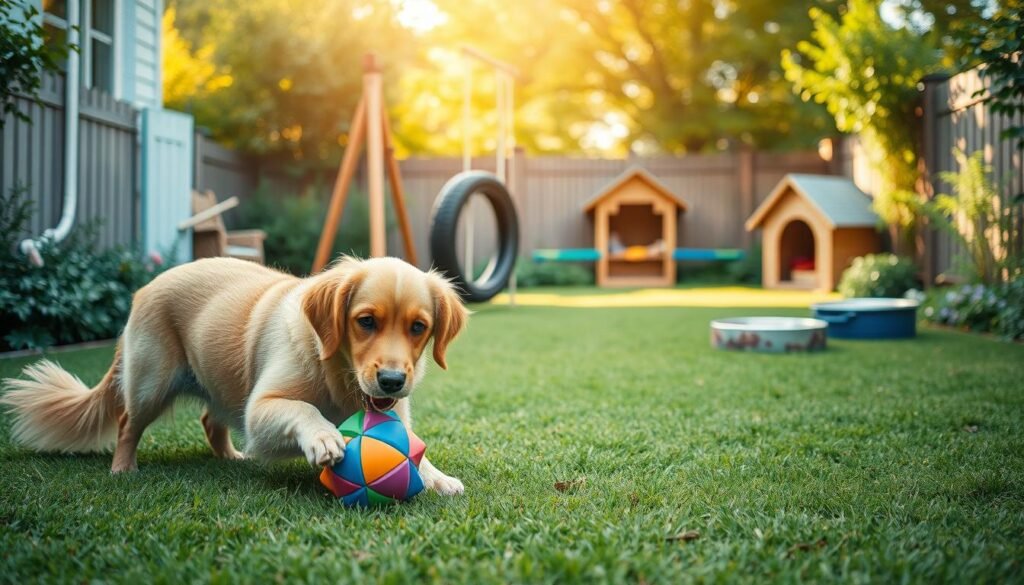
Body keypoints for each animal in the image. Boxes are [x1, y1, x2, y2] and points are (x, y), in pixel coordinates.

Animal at [0, 256, 468, 493]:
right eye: (366, 321)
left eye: (418, 327)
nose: (392, 382)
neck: (338, 375)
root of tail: (144, 289)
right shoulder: (260, 412)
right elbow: (304, 408)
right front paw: (323, 437)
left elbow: (412, 450)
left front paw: (436, 478)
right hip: (151, 382)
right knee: (127, 423)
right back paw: (123, 468)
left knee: (211, 419)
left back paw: (229, 458)